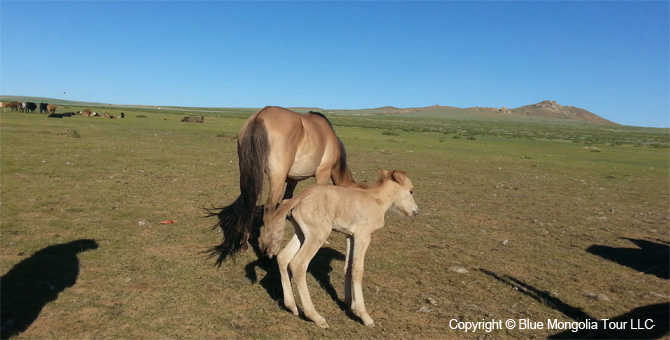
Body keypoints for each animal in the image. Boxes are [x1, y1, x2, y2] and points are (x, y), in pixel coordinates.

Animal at [209, 105, 356, 262]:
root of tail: (260, 116)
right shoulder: (323, 175)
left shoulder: (292, 180)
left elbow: (286, 202)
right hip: (277, 178)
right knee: (269, 208)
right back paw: (268, 251)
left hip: (248, 174)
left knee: (249, 203)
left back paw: (244, 243)